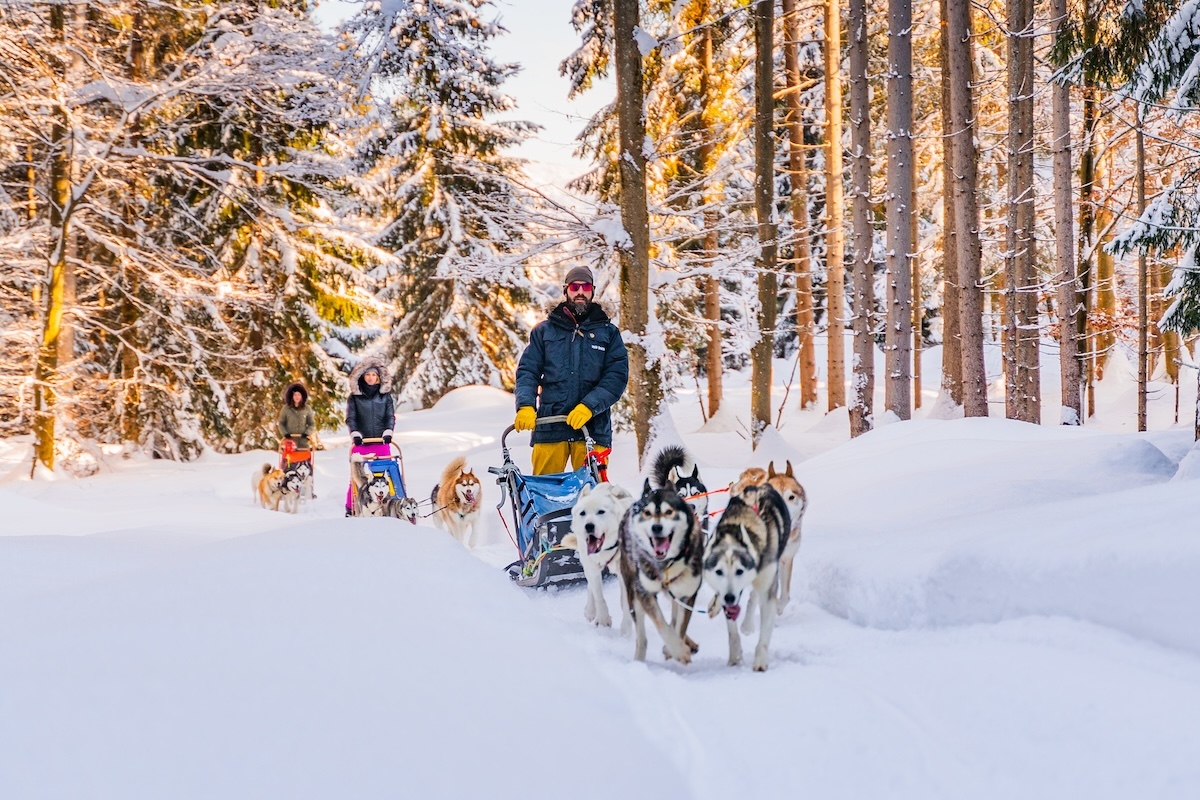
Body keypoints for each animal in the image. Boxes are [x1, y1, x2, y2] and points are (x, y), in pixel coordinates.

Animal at [561, 482, 638, 633]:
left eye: (601, 512)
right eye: (583, 513)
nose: (589, 526)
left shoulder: (626, 574)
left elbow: (626, 603)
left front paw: (626, 629)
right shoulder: (592, 569)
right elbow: (598, 596)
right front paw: (603, 619)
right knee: (590, 586)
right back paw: (590, 611)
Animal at [619, 474, 700, 662]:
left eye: (669, 512)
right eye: (647, 513)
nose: (656, 527)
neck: (666, 564)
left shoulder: (687, 594)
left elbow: (679, 626)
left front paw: (673, 649)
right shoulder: (644, 593)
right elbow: (662, 625)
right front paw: (678, 650)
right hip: (633, 593)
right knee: (642, 636)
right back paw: (639, 659)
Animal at [700, 484, 792, 671]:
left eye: (739, 571)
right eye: (719, 572)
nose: (729, 597)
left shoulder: (767, 586)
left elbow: (764, 633)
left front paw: (760, 662)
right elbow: (732, 632)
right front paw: (735, 657)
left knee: (754, 596)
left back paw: (747, 624)